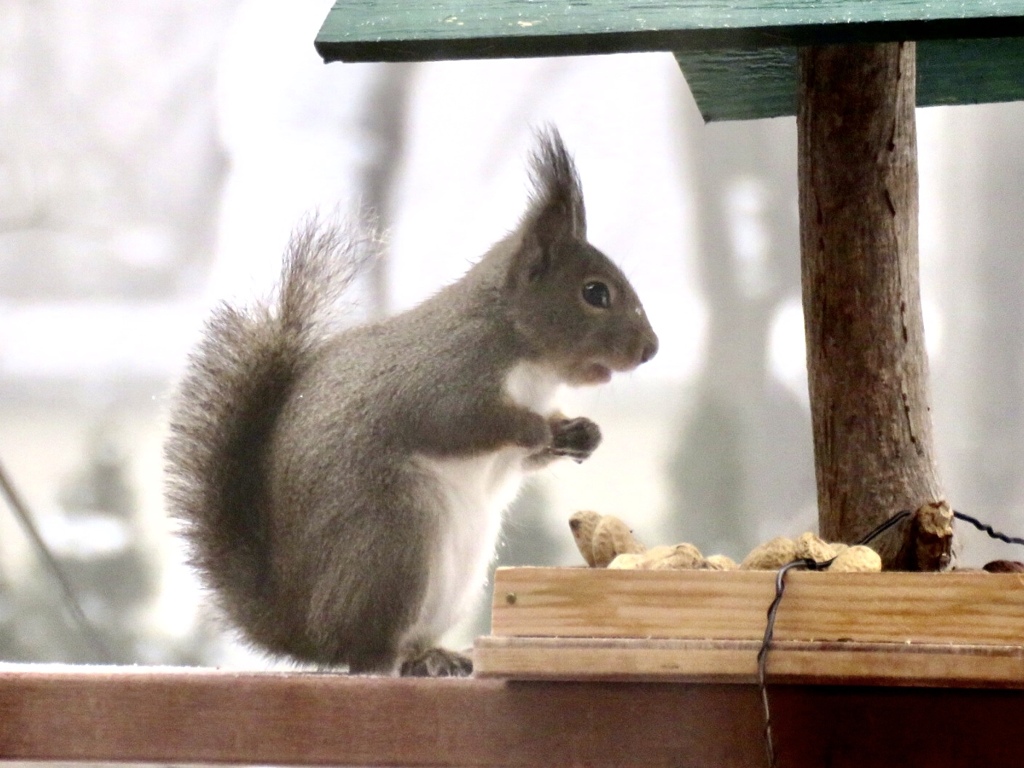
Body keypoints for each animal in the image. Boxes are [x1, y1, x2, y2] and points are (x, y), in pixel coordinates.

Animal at [159, 129, 655, 675]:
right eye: (595, 293)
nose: (650, 350)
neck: (523, 351)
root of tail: (304, 629)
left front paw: (580, 432)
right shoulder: (440, 381)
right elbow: (462, 423)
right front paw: (534, 427)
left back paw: (439, 655)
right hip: (393, 541)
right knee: (366, 653)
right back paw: (400, 659)